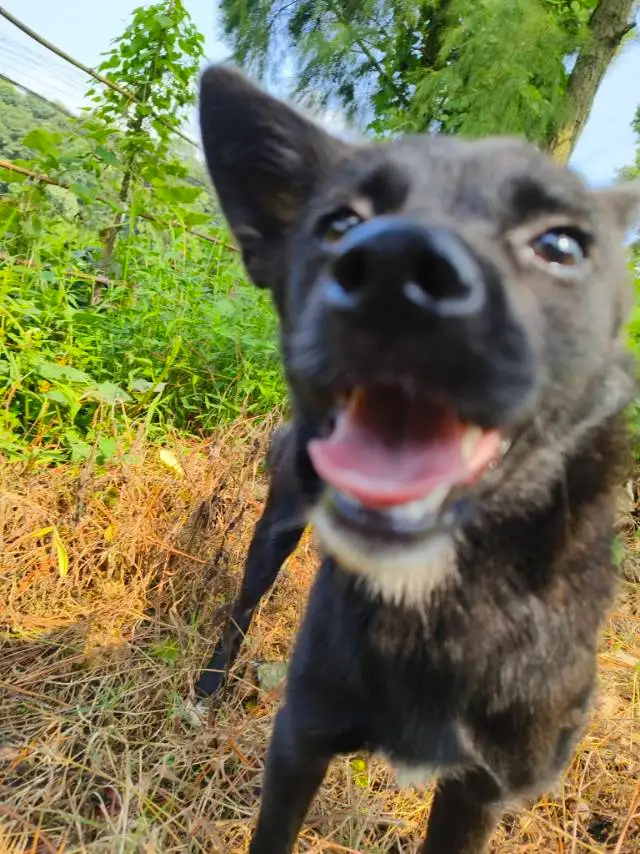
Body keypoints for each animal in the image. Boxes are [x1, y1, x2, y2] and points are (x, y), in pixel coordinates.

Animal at [198, 63, 636, 852]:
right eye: (340, 223)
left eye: (560, 245)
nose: (394, 270)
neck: (441, 603)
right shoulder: (299, 738)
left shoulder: (479, 791)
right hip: (274, 528)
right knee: (244, 604)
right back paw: (209, 686)